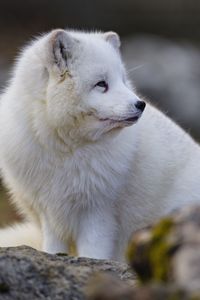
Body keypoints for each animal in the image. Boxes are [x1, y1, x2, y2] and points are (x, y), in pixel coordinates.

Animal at [0, 29, 200, 262]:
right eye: (101, 84)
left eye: (123, 80)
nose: (140, 104)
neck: (65, 151)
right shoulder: (49, 212)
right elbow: (52, 249)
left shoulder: (98, 212)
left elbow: (93, 253)